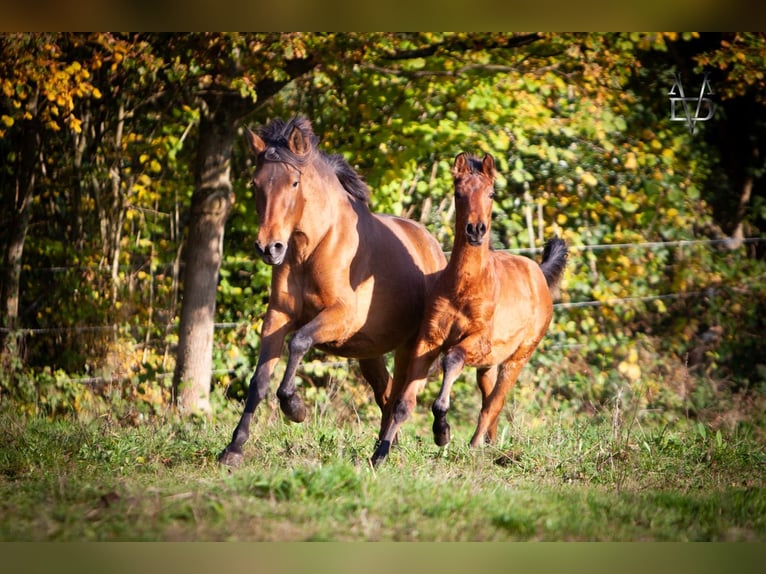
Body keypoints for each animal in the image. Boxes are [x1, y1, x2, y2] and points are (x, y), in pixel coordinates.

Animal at [219, 116, 448, 468]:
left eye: (294, 183)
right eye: (255, 184)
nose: (269, 248)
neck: (312, 248)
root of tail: (432, 247)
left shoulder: (341, 317)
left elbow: (299, 342)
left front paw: (295, 408)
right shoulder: (277, 316)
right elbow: (259, 380)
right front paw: (233, 449)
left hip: (412, 348)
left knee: (400, 397)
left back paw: (385, 452)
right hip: (370, 353)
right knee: (386, 394)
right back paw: (384, 448)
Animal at [372, 152, 568, 468]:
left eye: (491, 193)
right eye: (459, 193)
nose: (476, 230)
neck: (464, 287)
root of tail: (537, 271)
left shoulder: (477, 341)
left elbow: (453, 359)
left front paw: (442, 431)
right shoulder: (428, 341)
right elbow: (403, 402)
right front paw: (380, 454)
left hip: (518, 358)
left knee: (494, 403)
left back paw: (475, 446)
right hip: (489, 366)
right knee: (490, 400)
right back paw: (490, 444)